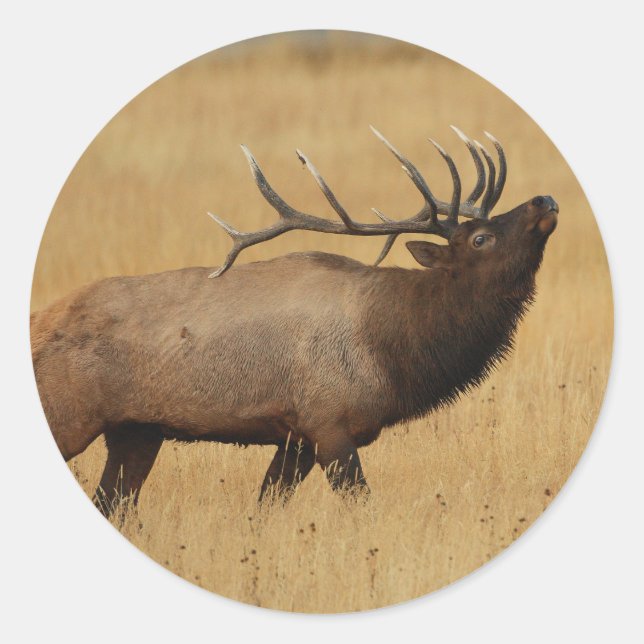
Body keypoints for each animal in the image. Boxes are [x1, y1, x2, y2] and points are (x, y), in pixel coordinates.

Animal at [30, 126, 558, 516]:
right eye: (480, 239)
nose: (544, 200)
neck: (394, 354)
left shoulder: (296, 438)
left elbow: (264, 509)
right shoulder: (329, 423)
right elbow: (361, 508)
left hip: (137, 430)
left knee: (112, 502)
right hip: (68, 414)